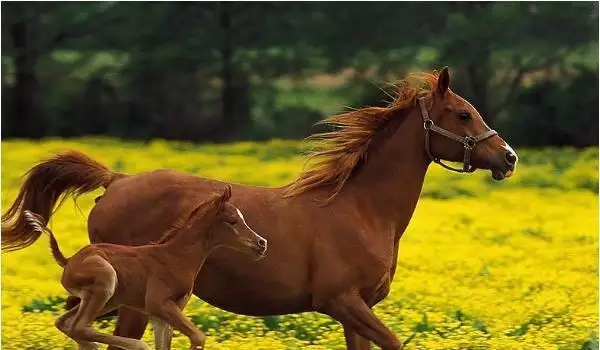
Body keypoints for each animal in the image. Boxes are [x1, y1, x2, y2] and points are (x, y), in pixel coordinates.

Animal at [23, 185, 266, 348]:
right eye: (232, 221)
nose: (261, 243)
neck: (176, 257)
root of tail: (69, 261)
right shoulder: (158, 303)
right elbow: (198, 336)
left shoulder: (163, 313)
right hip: (105, 280)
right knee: (80, 326)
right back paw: (134, 346)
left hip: (109, 299)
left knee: (65, 322)